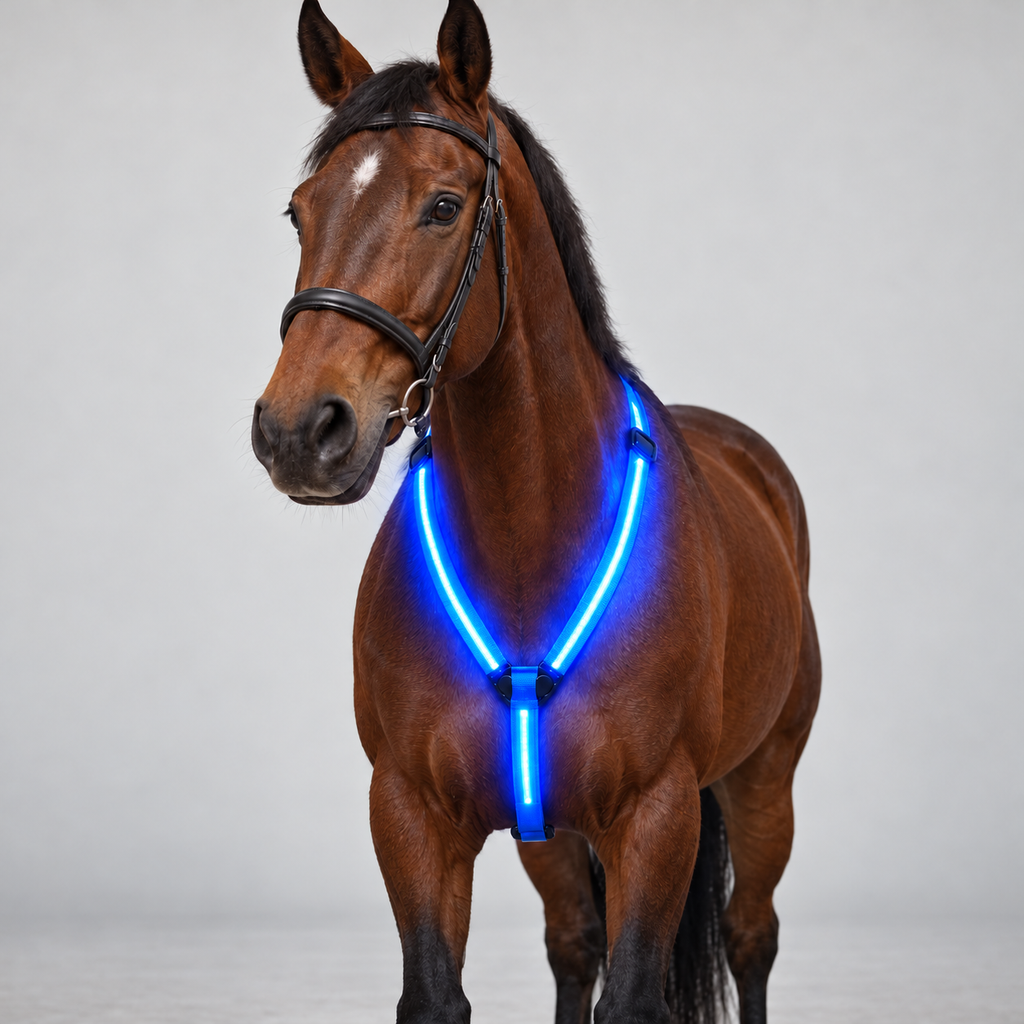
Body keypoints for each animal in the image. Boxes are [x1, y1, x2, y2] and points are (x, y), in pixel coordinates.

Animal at [251, 2, 821, 1022]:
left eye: (443, 206)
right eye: (299, 209)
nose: (297, 430)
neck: (528, 551)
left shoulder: (656, 817)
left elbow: (634, 993)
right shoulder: (411, 815)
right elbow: (443, 991)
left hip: (765, 782)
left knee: (752, 937)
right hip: (551, 835)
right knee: (572, 944)